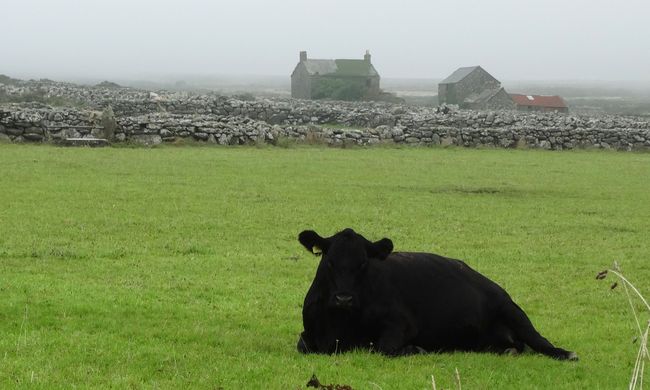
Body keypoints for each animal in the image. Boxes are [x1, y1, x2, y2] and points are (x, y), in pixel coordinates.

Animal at [296, 229, 576, 360]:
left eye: (363, 263)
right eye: (329, 261)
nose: (343, 298)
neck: (339, 327)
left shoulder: (401, 323)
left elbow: (384, 348)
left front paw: (415, 349)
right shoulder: (309, 333)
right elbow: (303, 345)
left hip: (513, 311)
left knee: (541, 341)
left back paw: (565, 354)